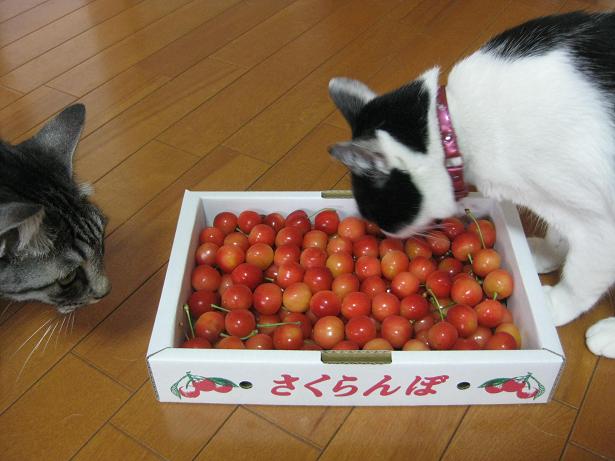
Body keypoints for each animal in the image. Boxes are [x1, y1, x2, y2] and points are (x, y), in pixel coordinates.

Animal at [327, 11, 615, 358]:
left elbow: (580, 275)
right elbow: (559, 233)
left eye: (376, 213)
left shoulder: (600, 224)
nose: (383, 235)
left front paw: (552, 306)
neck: (453, 131)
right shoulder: (562, 201)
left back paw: (606, 335)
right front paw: (545, 255)